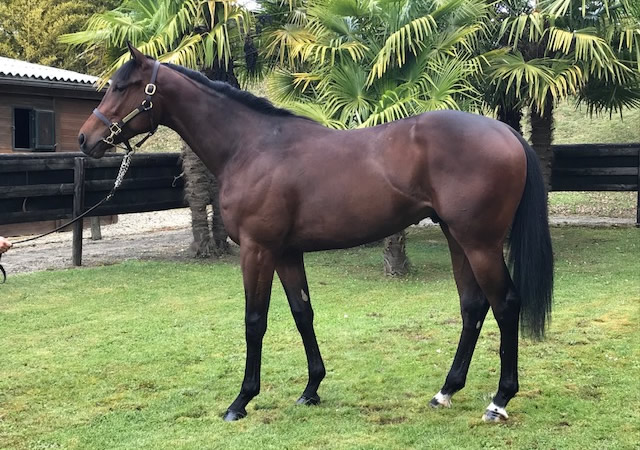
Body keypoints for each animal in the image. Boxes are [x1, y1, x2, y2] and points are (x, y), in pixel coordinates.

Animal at [78, 44, 553, 423]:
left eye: (122, 87)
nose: (85, 139)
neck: (251, 147)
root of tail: (505, 131)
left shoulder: (257, 250)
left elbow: (255, 321)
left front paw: (241, 401)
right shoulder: (287, 253)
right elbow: (302, 314)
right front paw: (311, 390)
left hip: (480, 244)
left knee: (505, 305)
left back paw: (499, 400)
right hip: (458, 239)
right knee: (473, 307)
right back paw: (446, 391)